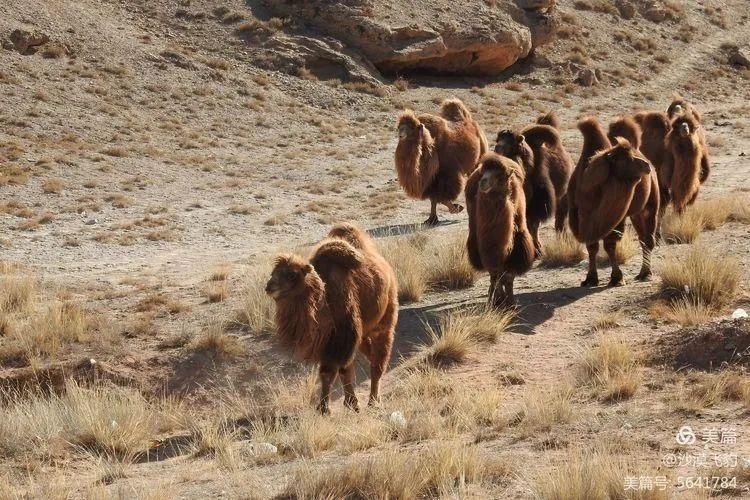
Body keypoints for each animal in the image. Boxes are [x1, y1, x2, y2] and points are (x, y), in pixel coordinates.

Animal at [268, 224, 402, 414]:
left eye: (292, 275)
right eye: (273, 273)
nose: (269, 286)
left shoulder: (343, 339)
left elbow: (332, 370)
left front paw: (327, 408)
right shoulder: (333, 341)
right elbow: (340, 371)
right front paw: (348, 403)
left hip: (385, 322)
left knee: (378, 362)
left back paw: (374, 400)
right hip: (361, 334)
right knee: (369, 354)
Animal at [396, 97, 490, 225]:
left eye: (410, 128)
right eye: (400, 127)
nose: (401, 134)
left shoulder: (448, 174)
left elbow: (443, 197)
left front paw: (457, 208)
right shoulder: (432, 178)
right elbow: (434, 198)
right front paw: (431, 219)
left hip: (479, 156)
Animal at [468, 154, 536, 306]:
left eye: (499, 176)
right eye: (483, 173)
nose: (483, 181)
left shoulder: (517, 246)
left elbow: (508, 277)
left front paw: (510, 301)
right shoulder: (487, 246)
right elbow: (496, 275)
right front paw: (497, 300)